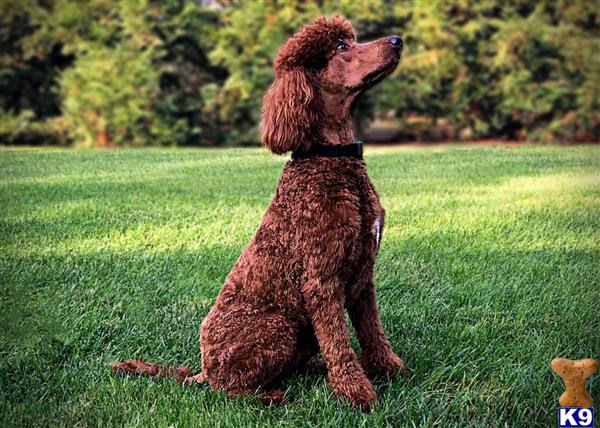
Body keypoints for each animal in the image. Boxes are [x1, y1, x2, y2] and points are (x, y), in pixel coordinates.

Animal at [111, 15, 408, 412]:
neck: (334, 161)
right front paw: (355, 392)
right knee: (228, 389)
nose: (397, 39)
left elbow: (372, 330)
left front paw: (388, 369)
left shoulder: (363, 274)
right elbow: (340, 343)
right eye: (342, 48)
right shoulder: (321, 279)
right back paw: (273, 394)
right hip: (276, 327)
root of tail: (202, 369)